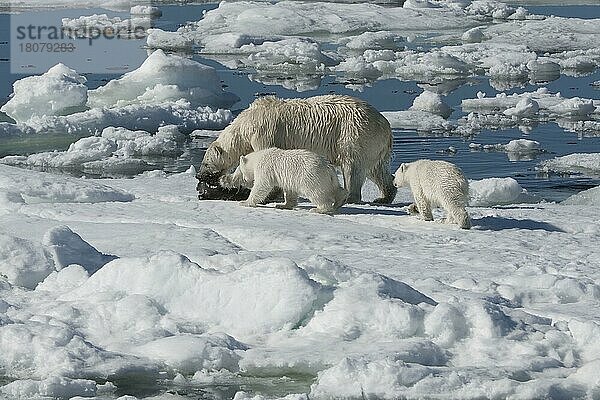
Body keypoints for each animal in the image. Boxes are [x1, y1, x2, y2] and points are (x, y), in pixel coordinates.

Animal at [196, 94, 398, 203]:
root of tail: (385, 125)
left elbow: (267, 161)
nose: (198, 176)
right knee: (377, 169)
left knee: (353, 167)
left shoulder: (264, 134)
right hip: (375, 145)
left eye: (205, 163)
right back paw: (384, 196)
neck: (246, 124)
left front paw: (267, 194)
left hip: (354, 135)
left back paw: (350, 197)